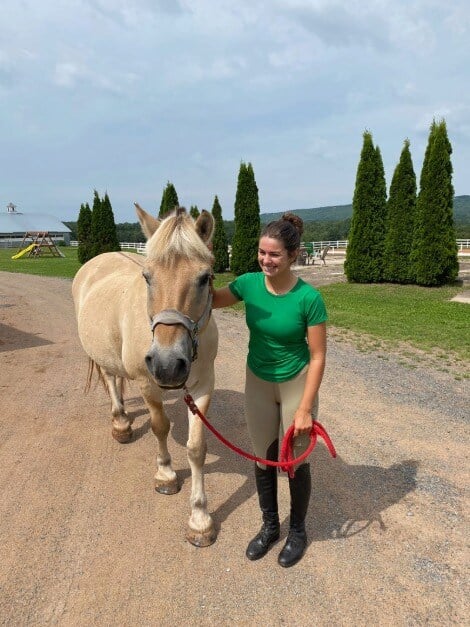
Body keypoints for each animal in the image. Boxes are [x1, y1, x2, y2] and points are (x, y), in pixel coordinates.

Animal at [71, 205, 218, 544]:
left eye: (205, 278)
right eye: (147, 277)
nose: (168, 364)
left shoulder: (203, 385)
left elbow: (196, 449)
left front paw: (199, 518)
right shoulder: (147, 383)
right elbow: (160, 427)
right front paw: (165, 475)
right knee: (112, 381)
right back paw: (121, 424)